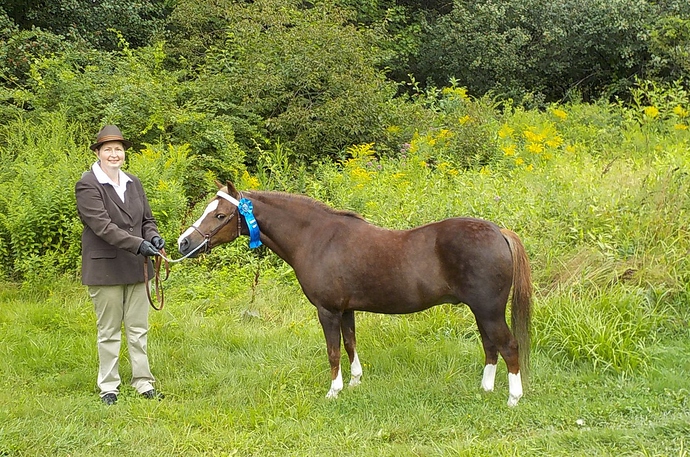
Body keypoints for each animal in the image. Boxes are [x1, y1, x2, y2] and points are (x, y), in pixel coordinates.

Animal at [179, 180, 532, 404]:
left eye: (220, 215)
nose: (184, 243)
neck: (317, 238)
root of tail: (499, 232)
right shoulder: (346, 309)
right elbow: (350, 344)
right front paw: (355, 382)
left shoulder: (327, 311)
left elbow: (333, 350)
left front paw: (333, 391)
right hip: (482, 311)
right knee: (491, 346)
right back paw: (486, 389)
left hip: (488, 310)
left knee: (508, 345)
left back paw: (514, 398)